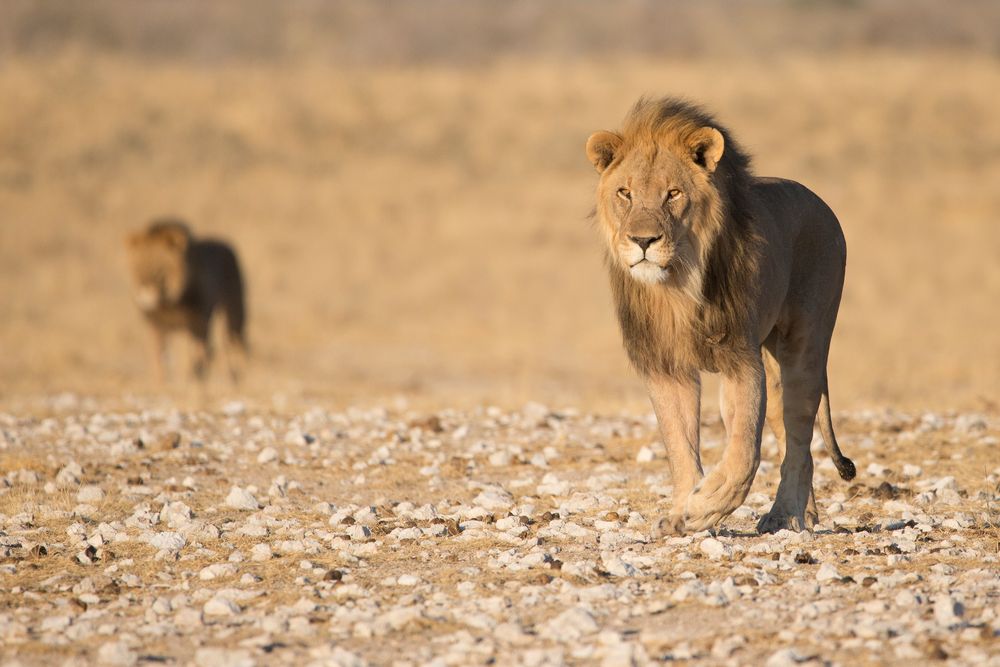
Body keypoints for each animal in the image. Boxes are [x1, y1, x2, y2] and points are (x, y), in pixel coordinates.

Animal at [124, 219, 247, 384]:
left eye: (159, 270)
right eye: (139, 269)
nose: (144, 294)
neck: (167, 304)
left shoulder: (194, 324)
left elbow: (188, 357)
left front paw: (187, 382)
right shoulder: (155, 325)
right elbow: (157, 357)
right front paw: (159, 384)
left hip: (233, 313)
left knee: (231, 344)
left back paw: (234, 378)